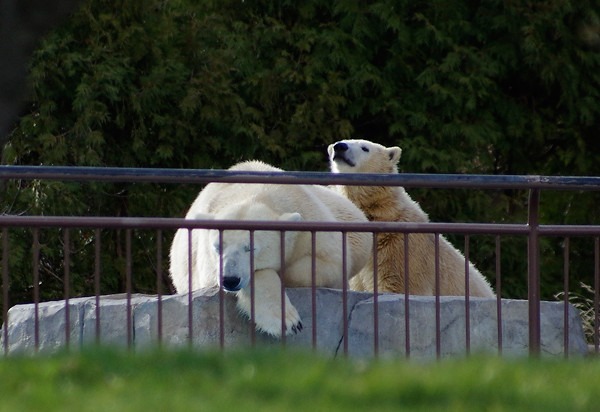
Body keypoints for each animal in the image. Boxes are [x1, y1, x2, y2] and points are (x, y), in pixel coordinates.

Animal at [169, 159, 372, 336]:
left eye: (251, 248)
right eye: (218, 247)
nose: (230, 280)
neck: (256, 192)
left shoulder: (310, 222)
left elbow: (331, 263)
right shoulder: (205, 260)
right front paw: (286, 321)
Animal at [328, 140, 492, 298]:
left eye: (365, 148)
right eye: (340, 142)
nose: (339, 147)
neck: (385, 216)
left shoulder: (401, 248)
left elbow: (400, 285)